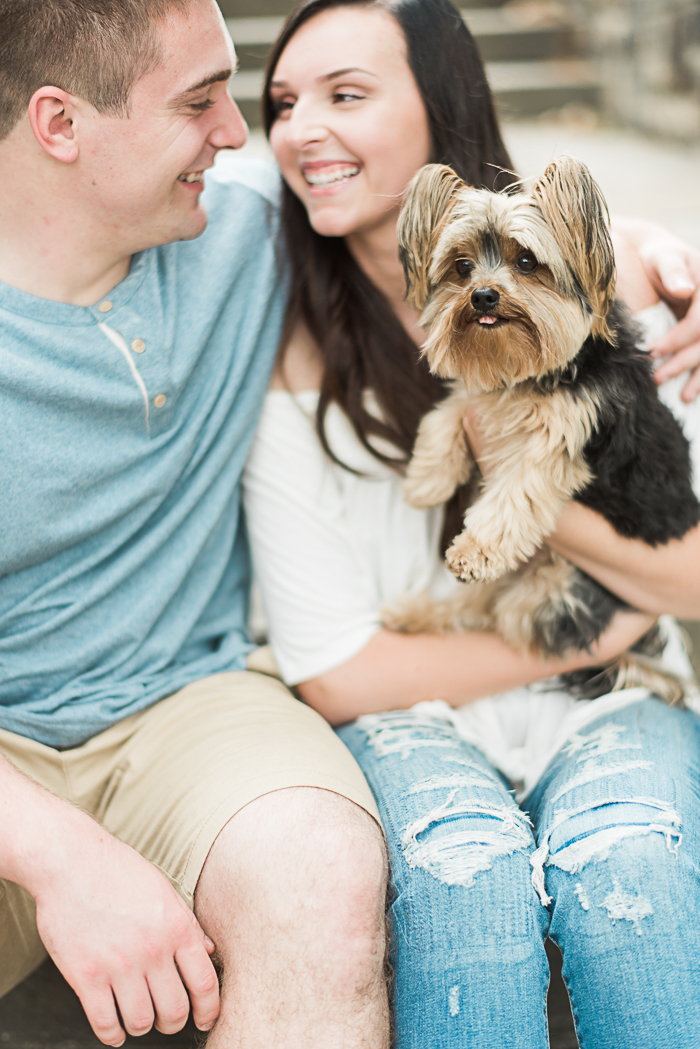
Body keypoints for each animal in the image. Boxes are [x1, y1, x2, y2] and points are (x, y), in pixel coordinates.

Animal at [388, 155, 700, 704]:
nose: (482, 295)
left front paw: (474, 550)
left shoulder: (562, 438)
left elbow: (514, 495)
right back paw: (414, 614)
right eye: (461, 266)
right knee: (473, 610)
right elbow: (450, 408)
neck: (528, 375)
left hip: (551, 589)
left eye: (527, 262)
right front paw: (427, 480)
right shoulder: (486, 395)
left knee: (497, 616)